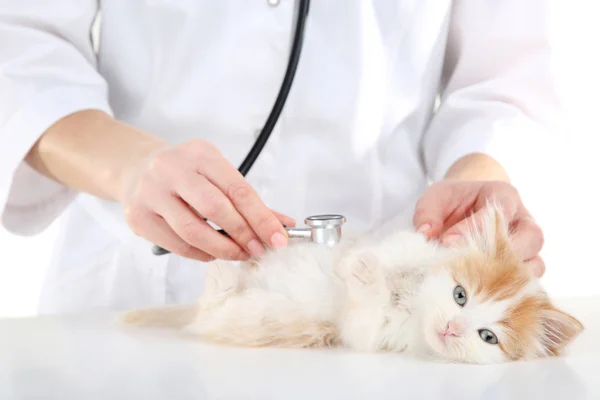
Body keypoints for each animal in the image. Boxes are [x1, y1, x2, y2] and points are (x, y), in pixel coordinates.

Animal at [119, 205, 584, 364]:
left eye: (488, 337)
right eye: (460, 295)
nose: (451, 329)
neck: (414, 305)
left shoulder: (368, 333)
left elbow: (367, 310)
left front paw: (362, 272)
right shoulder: (416, 243)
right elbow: (396, 248)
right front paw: (358, 259)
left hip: (256, 319)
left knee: (212, 308)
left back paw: (222, 272)